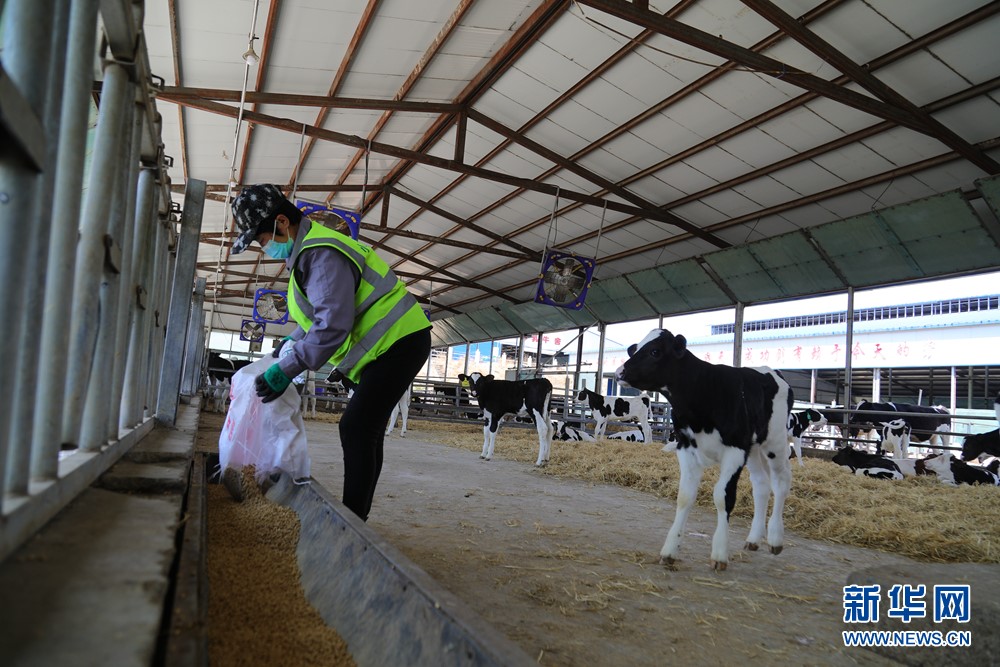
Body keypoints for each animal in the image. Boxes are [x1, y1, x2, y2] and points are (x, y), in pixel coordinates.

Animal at [614, 329, 793, 571]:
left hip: (775, 441)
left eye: (655, 351)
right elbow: (685, 496)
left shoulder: (735, 451)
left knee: (781, 481)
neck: (703, 393)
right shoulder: (686, 447)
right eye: (633, 349)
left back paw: (775, 539)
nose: (618, 372)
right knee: (761, 485)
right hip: (754, 448)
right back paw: (754, 539)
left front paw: (719, 553)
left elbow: (723, 497)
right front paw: (670, 550)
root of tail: (772, 371)